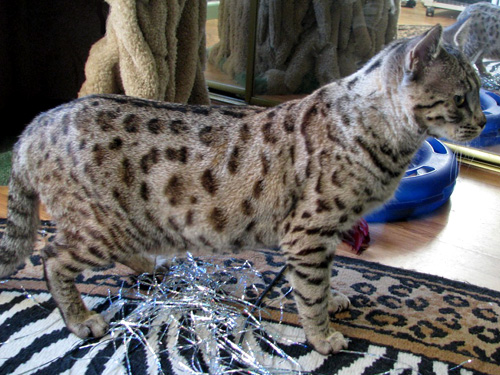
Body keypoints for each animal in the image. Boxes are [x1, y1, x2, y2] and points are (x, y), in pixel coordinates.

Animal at [0, 25, 484, 356]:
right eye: (461, 99)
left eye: (478, 95)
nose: (481, 123)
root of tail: (36, 126)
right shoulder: (308, 233)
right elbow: (310, 292)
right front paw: (322, 336)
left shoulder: (322, 237)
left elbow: (320, 282)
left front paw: (334, 300)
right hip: (102, 227)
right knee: (51, 256)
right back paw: (81, 319)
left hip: (128, 224)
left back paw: (150, 265)